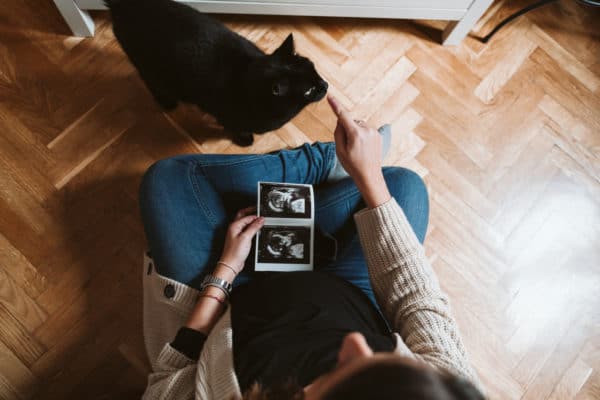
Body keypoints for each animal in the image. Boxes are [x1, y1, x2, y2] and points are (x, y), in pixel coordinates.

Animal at [103, 0, 328, 145]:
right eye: (308, 91)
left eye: (314, 68)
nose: (325, 85)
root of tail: (124, 5)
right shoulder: (228, 118)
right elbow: (235, 128)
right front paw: (244, 140)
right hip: (149, 68)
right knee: (152, 82)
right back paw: (168, 103)